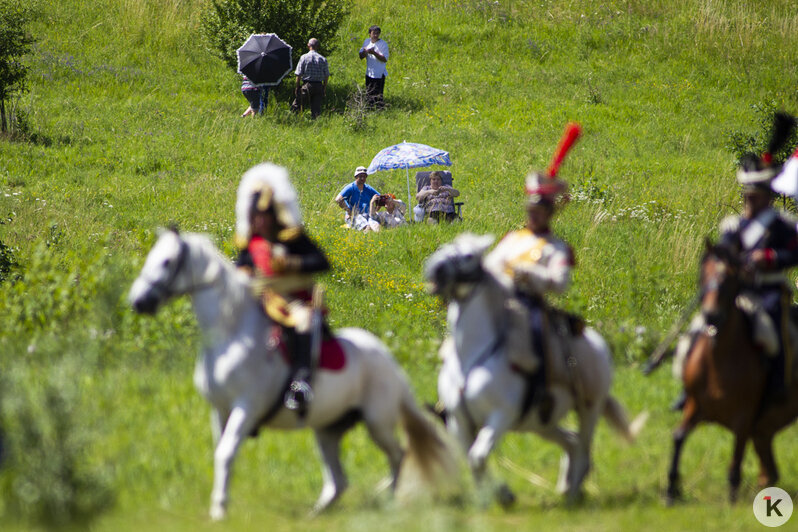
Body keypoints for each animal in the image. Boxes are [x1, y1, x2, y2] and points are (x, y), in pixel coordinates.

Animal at [131, 230, 456, 520]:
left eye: (167, 262)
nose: (139, 301)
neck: (232, 333)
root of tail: (386, 357)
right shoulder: (220, 409)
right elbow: (221, 452)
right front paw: (219, 503)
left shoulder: (246, 407)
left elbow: (225, 453)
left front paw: (219, 510)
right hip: (327, 429)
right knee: (339, 481)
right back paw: (317, 513)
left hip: (378, 421)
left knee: (398, 455)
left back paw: (387, 499)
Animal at [424, 235, 644, 504]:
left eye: (468, 256)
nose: (434, 268)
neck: (470, 358)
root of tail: (598, 343)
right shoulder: (459, 422)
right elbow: (473, 460)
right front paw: (492, 496)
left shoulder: (500, 416)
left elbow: (477, 457)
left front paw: (503, 494)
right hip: (540, 424)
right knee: (571, 442)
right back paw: (566, 486)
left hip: (589, 408)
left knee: (583, 447)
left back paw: (572, 494)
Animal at [668, 241, 798, 502]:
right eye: (704, 274)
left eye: (729, 279)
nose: (711, 315)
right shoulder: (695, 406)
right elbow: (678, 437)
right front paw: (671, 490)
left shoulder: (744, 420)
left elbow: (735, 461)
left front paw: (731, 499)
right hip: (764, 430)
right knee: (770, 470)